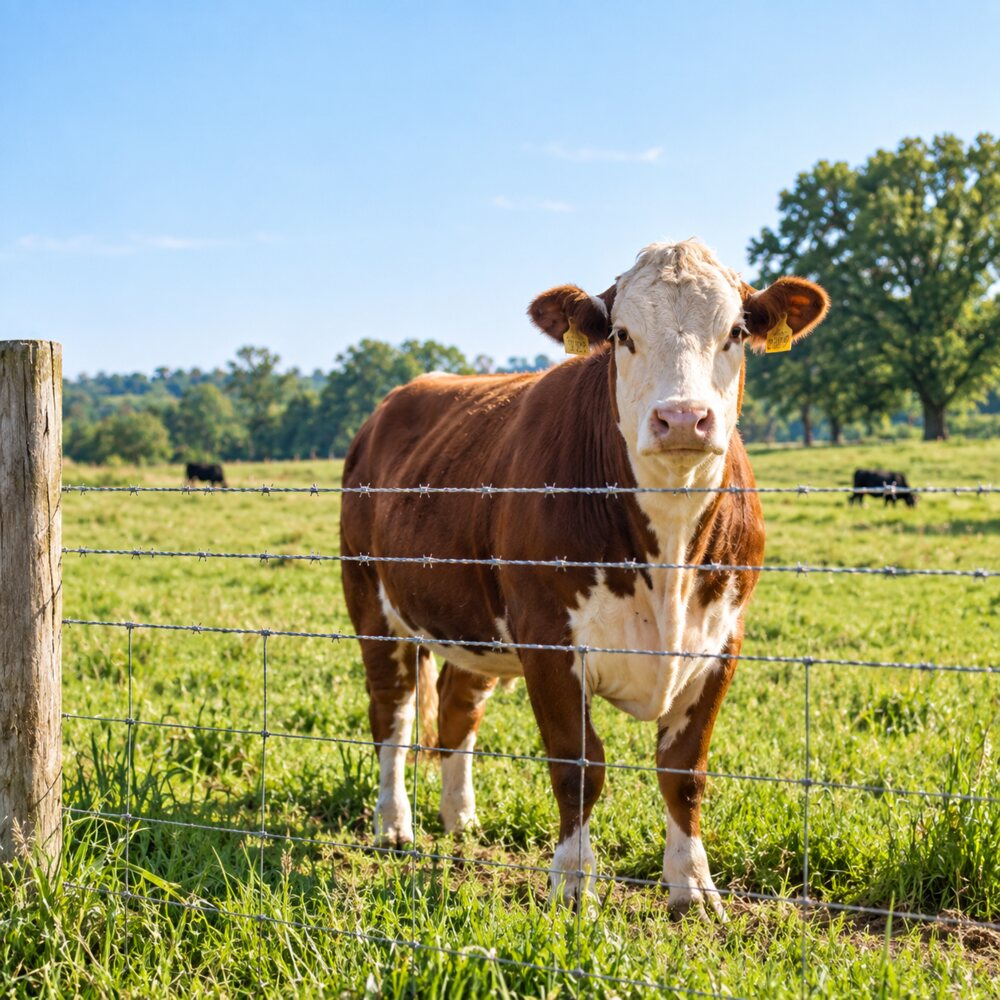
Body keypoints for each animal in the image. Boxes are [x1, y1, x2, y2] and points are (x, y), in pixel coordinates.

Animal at [340, 239, 830, 918]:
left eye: (735, 331)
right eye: (622, 334)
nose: (683, 419)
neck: (669, 547)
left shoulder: (722, 640)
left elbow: (684, 772)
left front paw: (693, 888)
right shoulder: (549, 638)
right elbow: (578, 766)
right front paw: (573, 886)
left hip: (476, 621)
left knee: (459, 710)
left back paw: (460, 820)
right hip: (372, 602)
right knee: (394, 714)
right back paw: (393, 824)